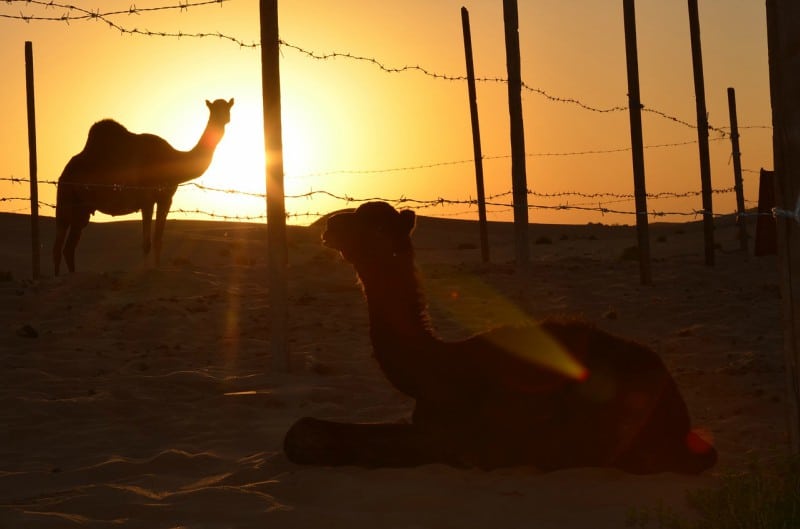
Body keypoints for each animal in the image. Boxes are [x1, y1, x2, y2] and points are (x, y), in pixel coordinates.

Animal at [52, 96, 233, 274]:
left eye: (228, 107)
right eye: (213, 109)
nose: (223, 118)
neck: (172, 159)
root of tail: (65, 171)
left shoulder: (166, 198)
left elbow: (158, 239)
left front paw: (157, 268)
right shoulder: (147, 199)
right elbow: (146, 243)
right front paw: (146, 270)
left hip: (82, 208)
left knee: (69, 246)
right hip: (65, 196)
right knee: (58, 243)